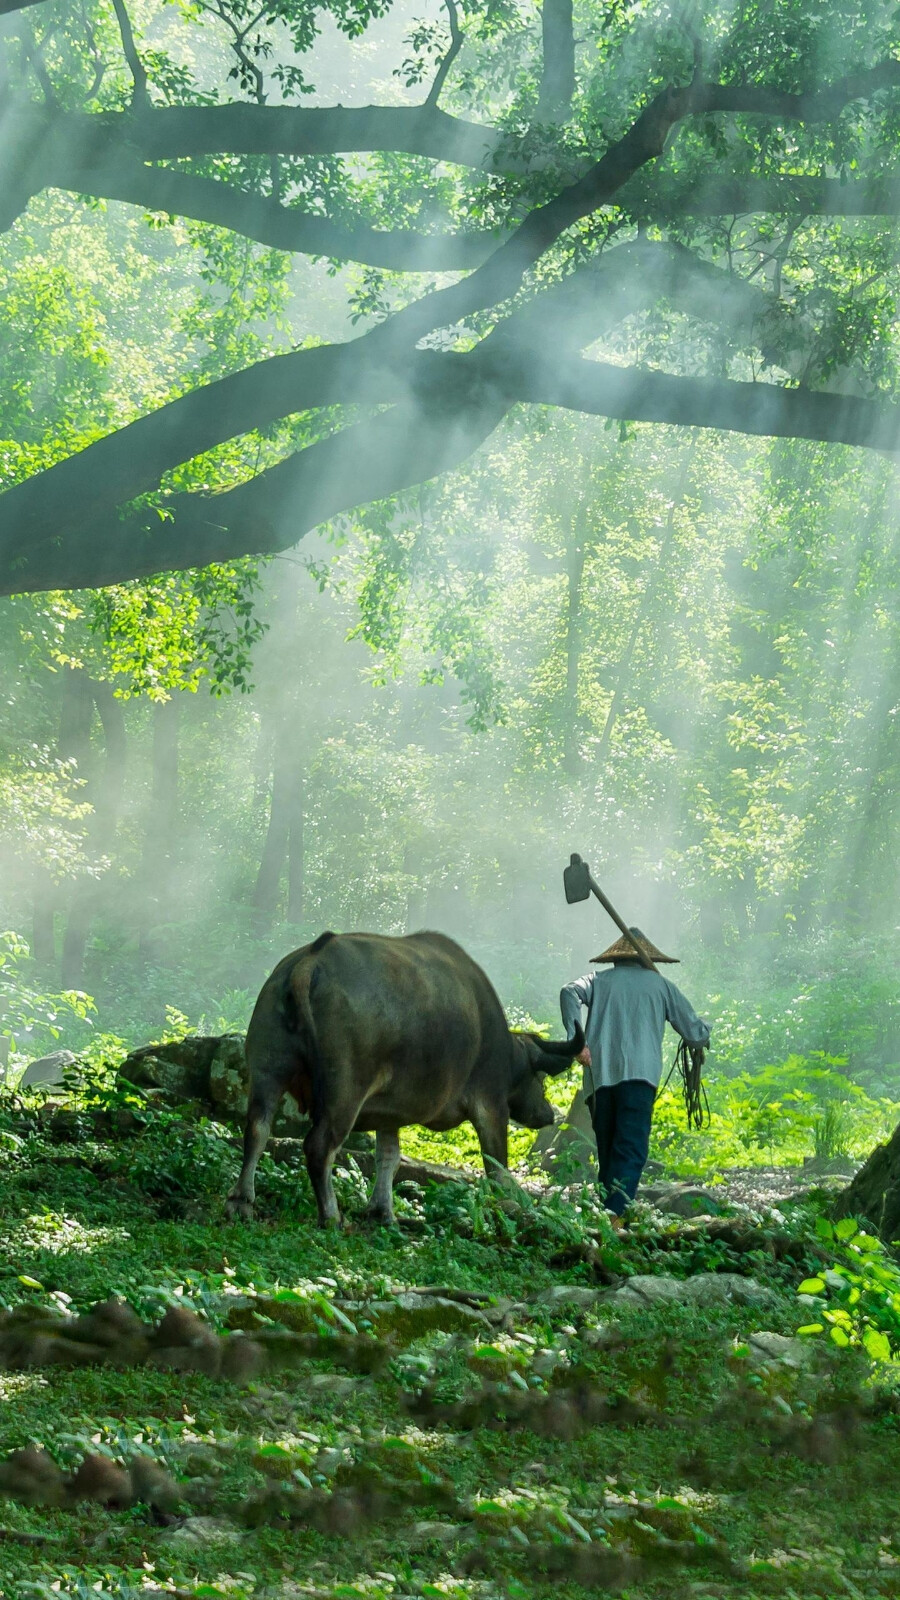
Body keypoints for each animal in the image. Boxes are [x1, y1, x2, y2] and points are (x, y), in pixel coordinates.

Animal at [225, 928, 582, 1222]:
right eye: (540, 1077)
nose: (547, 1114)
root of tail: (310, 961)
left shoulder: (388, 1112)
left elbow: (389, 1157)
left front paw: (382, 1211)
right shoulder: (491, 1104)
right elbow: (497, 1168)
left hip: (267, 1071)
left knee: (257, 1129)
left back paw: (241, 1200)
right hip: (344, 1091)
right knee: (318, 1146)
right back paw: (331, 1215)